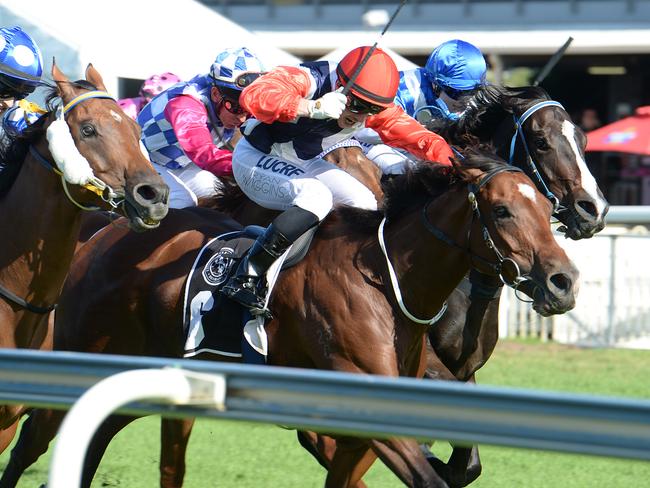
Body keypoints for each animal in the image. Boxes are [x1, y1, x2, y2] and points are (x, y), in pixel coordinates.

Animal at [0, 152, 576, 488]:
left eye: (546, 210)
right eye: (502, 211)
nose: (562, 281)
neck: (384, 280)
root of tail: (104, 235)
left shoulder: (362, 427)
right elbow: (427, 478)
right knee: (31, 441)